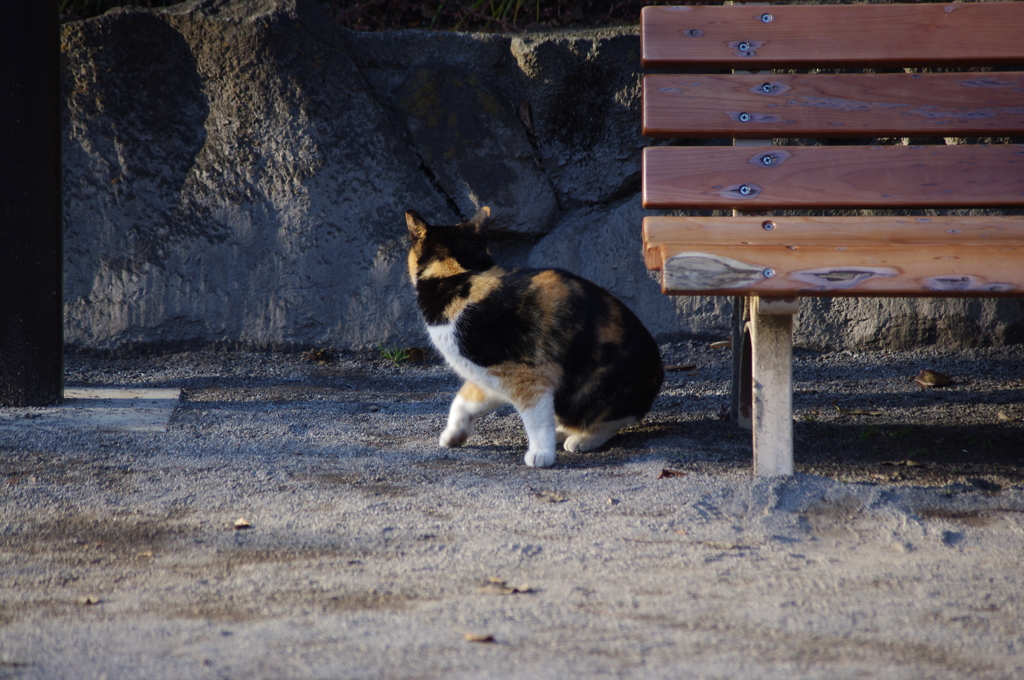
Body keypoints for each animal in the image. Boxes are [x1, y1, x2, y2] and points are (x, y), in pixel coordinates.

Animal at [407, 204, 663, 464]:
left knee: (612, 419)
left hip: (588, 390)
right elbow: (461, 402)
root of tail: (656, 378)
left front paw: (541, 454)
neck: (461, 276)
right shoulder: (488, 375)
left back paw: (581, 439)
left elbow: (535, 418)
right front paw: (453, 434)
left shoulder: (528, 374)